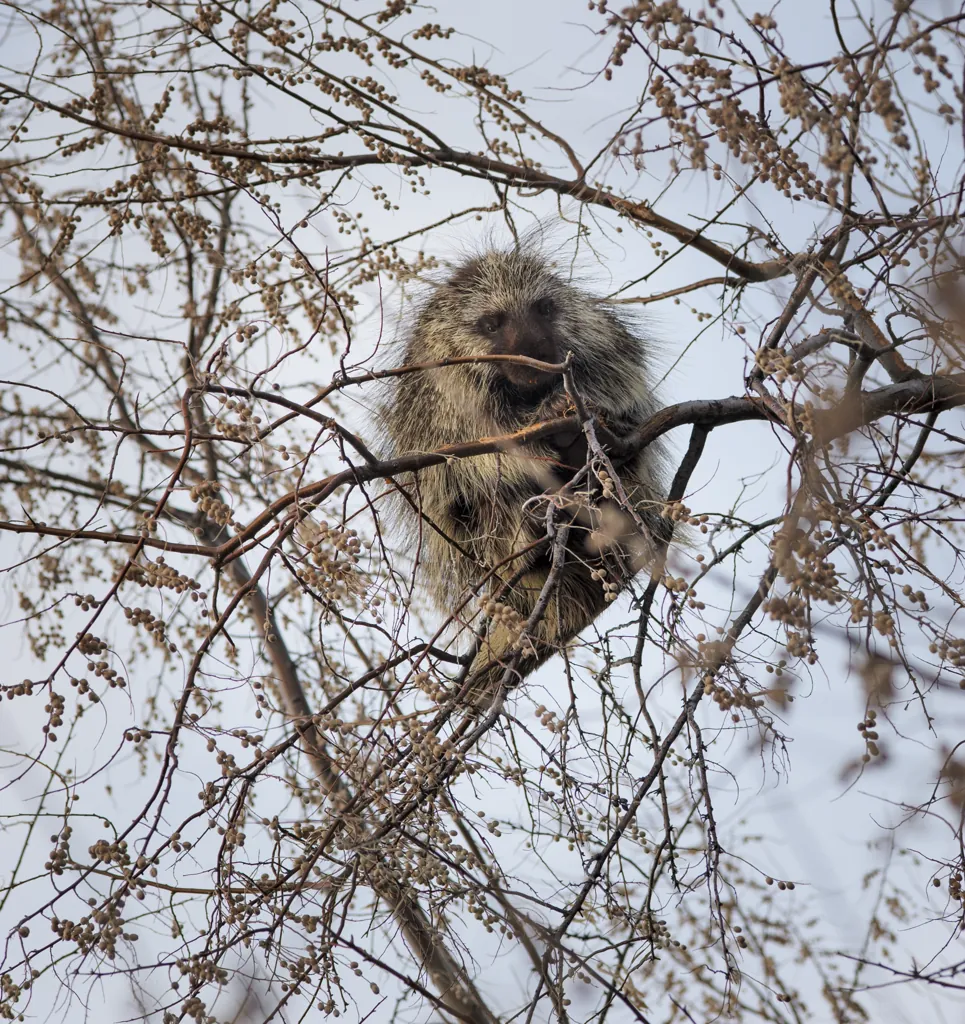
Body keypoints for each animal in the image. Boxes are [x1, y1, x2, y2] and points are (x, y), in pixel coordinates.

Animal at [383, 243, 670, 708]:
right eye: (491, 324)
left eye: (544, 308)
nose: (536, 354)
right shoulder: (440, 391)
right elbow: (469, 448)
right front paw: (547, 423)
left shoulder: (598, 336)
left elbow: (618, 375)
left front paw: (580, 413)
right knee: (485, 501)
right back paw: (536, 529)